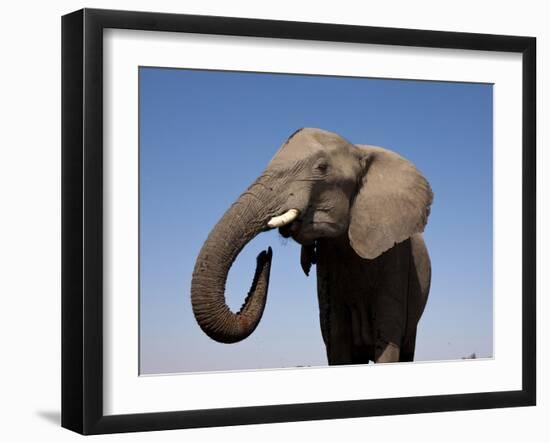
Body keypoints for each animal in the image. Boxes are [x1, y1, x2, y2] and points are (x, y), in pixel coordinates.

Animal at [192, 127, 434, 364]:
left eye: (322, 168)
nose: (265, 254)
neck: (359, 150)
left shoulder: (397, 260)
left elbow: (388, 339)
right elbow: (338, 339)